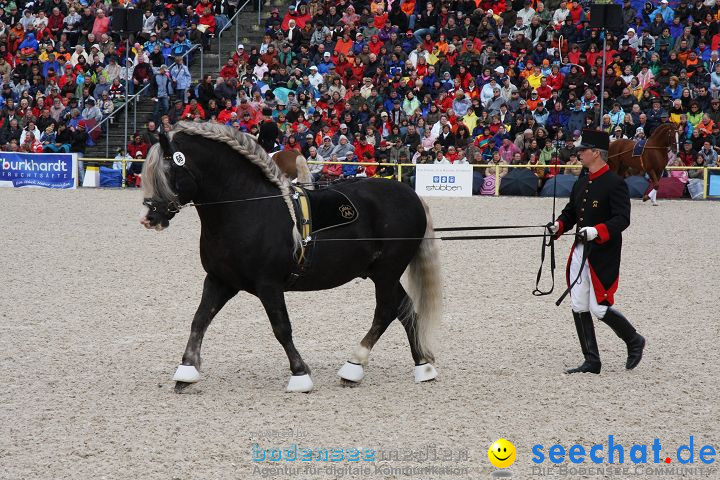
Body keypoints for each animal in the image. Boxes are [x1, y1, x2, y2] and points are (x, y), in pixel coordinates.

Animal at [141, 123, 442, 394]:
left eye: (167, 171)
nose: (149, 218)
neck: (246, 209)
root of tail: (410, 194)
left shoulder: (268, 285)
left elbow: (281, 328)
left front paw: (300, 375)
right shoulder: (219, 281)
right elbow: (199, 320)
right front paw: (186, 371)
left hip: (387, 271)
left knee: (386, 310)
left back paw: (354, 365)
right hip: (380, 272)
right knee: (404, 309)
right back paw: (422, 366)